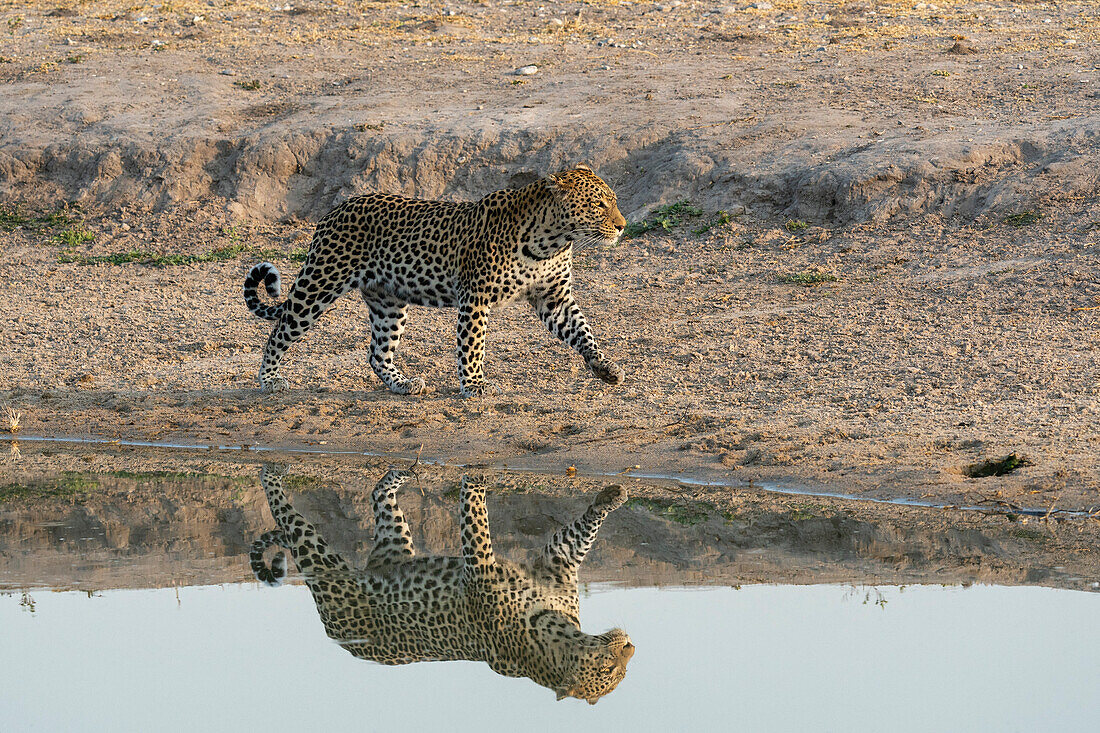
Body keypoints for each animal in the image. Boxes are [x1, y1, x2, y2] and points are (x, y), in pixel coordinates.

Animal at [246, 165, 633, 396]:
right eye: (599, 205)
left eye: (613, 201)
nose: (622, 225)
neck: (551, 240)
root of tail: (334, 210)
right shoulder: (475, 297)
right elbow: (472, 344)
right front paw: (474, 385)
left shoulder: (554, 298)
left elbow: (583, 332)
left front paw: (606, 368)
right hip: (320, 283)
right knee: (280, 328)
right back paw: (269, 379)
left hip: (388, 302)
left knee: (377, 352)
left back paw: (403, 384)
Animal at [246, 462, 633, 704]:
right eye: (609, 670)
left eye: (621, 675)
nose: (631, 648)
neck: (555, 632)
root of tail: (342, 640)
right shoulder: (491, 564)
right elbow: (478, 517)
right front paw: (476, 477)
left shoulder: (555, 565)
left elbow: (579, 534)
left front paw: (610, 497)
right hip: (319, 559)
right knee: (284, 510)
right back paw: (272, 471)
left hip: (395, 544)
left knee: (377, 493)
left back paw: (400, 473)